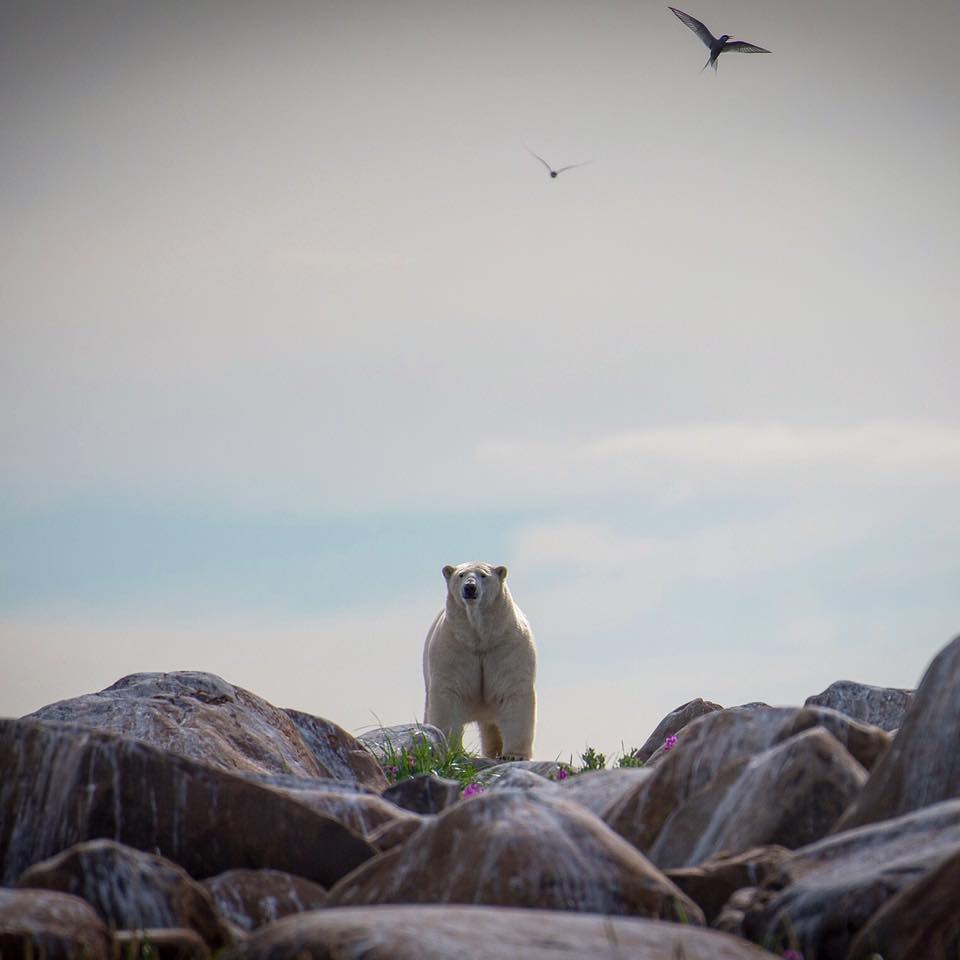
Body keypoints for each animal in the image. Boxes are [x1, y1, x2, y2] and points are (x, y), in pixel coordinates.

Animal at [422, 562, 537, 760]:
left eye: (483, 575)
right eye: (461, 575)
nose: (470, 587)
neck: (480, 637)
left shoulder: (506, 646)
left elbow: (513, 691)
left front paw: (514, 755)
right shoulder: (453, 647)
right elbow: (448, 694)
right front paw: (451, 748)